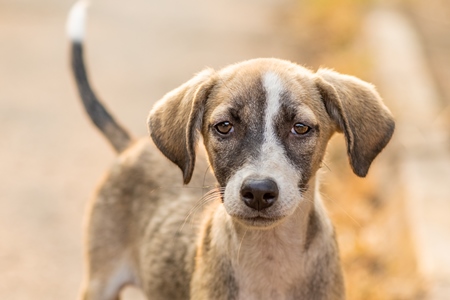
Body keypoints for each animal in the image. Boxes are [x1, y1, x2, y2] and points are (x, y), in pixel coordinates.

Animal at [67, 1, 394, 298]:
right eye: (224, 126)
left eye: (300, 128)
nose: (259, 192)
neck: (269, 258)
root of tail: (133, 144)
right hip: (99, 281)